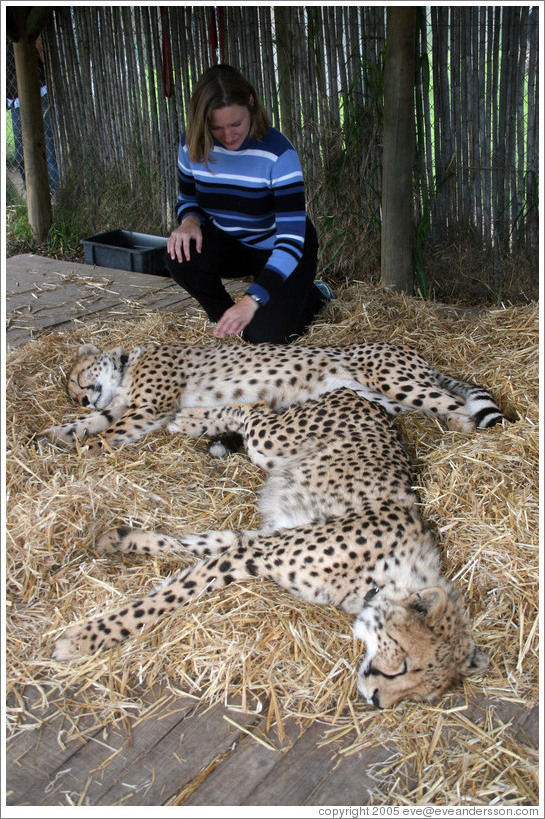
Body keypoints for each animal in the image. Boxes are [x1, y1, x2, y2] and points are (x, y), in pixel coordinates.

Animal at [52, 390, 488, 712]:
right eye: (403, 665)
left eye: (421, 695)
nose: (379, 701)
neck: (383, 574)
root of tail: (362, 397)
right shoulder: (254, 554)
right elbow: (171, 596)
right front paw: (85, 639)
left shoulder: (256, 542)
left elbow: (192, 546)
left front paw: (120, 540)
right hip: (272, 441)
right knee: (254, 410)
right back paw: (188, 418)